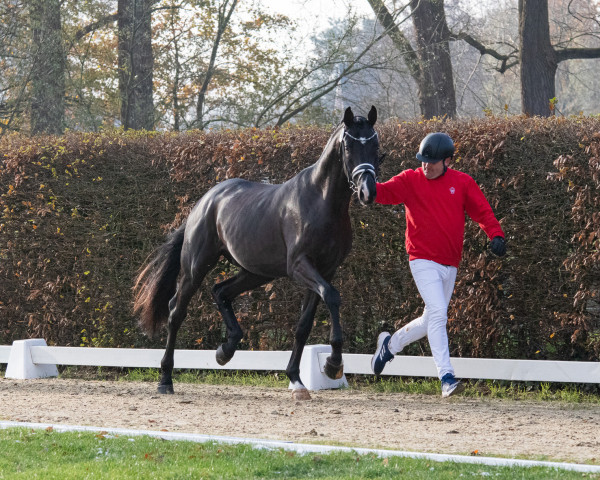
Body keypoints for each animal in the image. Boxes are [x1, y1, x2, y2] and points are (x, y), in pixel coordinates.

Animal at [134, 107, 382, 400]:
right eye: (349, 145)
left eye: (375, 145)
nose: (368, 192)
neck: (321, 201)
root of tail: (204, 202)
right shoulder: (300, 266)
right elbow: (332, 296)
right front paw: (333, 364)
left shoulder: (325, 270)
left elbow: (304, 325)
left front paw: (297, 380)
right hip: (196, 267)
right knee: (176, 311)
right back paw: (166, 379)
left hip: (256, 273)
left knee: (220, 291)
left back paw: (225, 350)